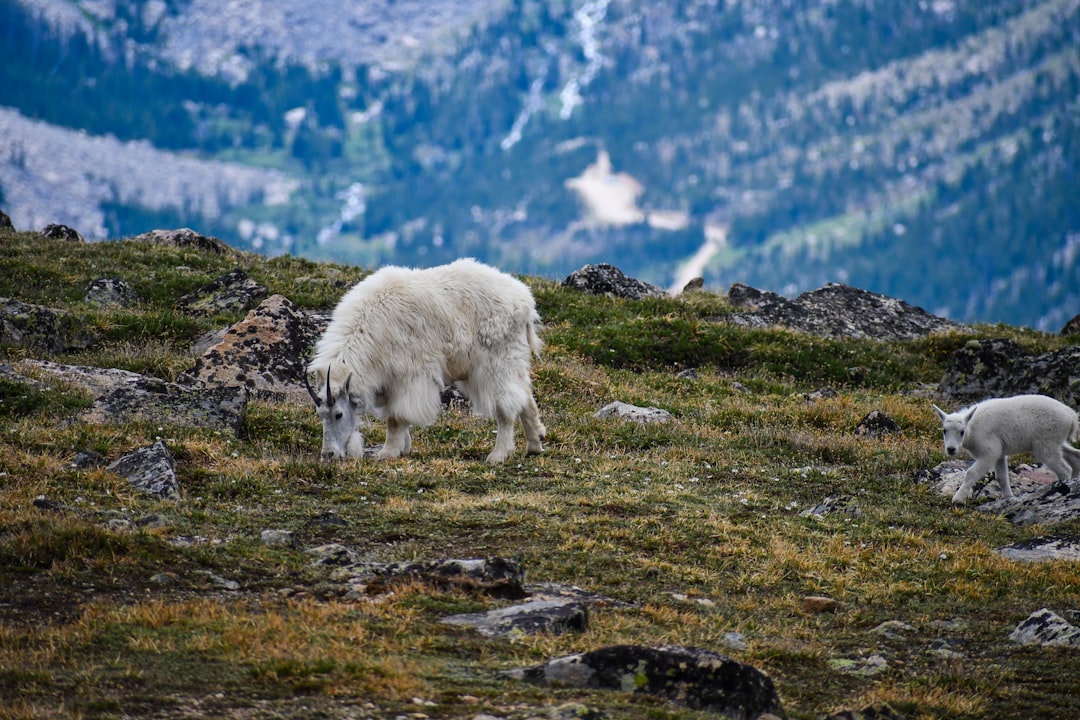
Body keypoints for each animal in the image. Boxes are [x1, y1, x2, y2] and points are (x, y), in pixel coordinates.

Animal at [304, 255, 544, 464]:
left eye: (338, 414)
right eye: (320, 414)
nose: (328, 454)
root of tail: (525, 301)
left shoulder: (409, 375)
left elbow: (395, 417)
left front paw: (388, 452)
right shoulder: (389, 380)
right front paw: (403, 447)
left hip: (496, 362)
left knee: (506, 405)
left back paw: (498, 454)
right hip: (512, 359)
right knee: (525, 395)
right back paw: (535, 444)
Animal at [928, 395, 1080, 507]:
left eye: (961, 432)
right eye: (944, 430)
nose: (951, 449)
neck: (972, 428)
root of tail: (1072, 417)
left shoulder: (990, 452)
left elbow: (971, 473)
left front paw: (958, 499)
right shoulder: (999, 454)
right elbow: (1001, 477)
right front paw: (1008, 497)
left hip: (1046, 444)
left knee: (1064, 469)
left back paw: (1063, 487)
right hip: (1056, 442)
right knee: (1074, 456)